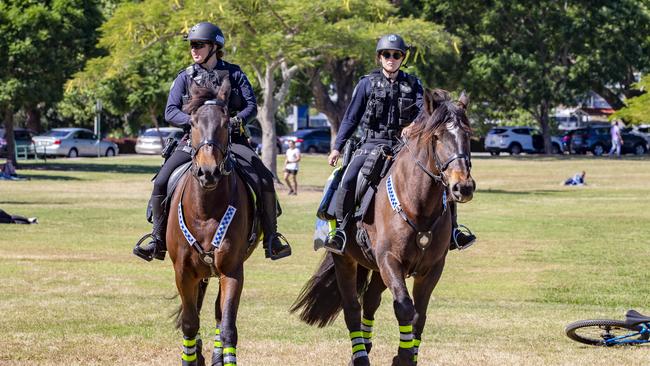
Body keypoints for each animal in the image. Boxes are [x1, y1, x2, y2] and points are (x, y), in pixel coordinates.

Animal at [166, 78, 256, 364]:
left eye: (227, 123)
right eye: (193, 123)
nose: (209, 172)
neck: (205, 209)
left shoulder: (232, 270)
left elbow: (227, 326)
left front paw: (222, 356)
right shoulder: (183, 272)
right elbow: (189, 322)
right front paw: (191, 356)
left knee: (217, 311)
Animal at [292, 89, 474, 366]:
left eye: (467, 134)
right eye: (437, 137)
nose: (462, 187)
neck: (417, 204)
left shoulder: (431, 268)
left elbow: (420, 314)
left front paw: (409, 354)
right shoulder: (390, 260)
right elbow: (405, 307)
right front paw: (403, 356)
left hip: (376, 268)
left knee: (370, 301)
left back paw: (365, 346)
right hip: (346, 261)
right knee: (352, 308)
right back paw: (359, 355)